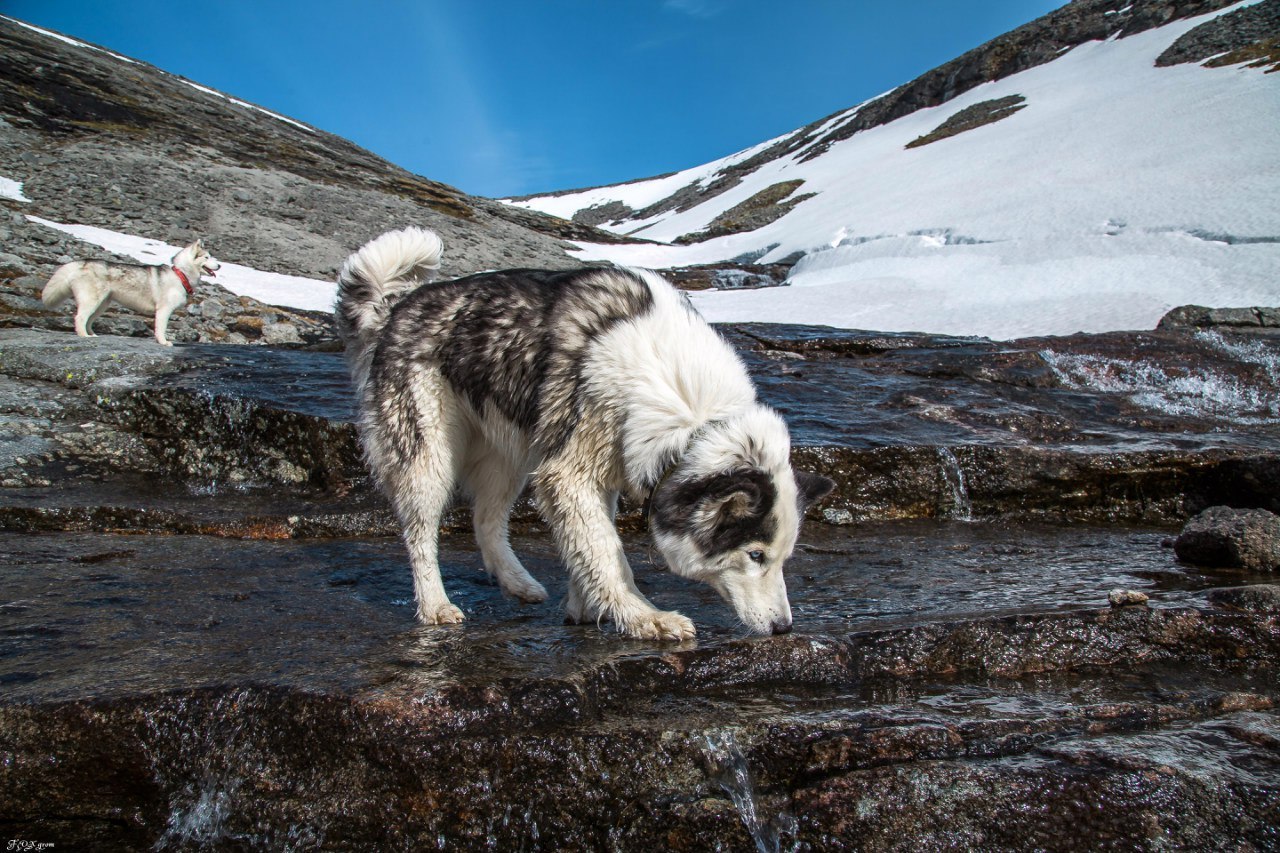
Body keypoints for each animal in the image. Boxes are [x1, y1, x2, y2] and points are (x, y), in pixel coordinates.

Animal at [40, 239, 222, 345]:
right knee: (80, 317)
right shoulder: (164, 309)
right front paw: (164, 342)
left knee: (89, 320)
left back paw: (92, 335)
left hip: (102, 304)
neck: (180, 274)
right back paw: (83, 336)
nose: (220, 265)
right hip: (92, 300)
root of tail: (82, 262)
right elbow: (161, 328)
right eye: (207, 257)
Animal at [335, 225, 834, 637]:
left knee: (486, 520)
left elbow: (587, 546)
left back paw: (517, 583)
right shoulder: (568, 472)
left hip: (511, 454)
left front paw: (585, 605)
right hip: (428, 456)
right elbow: (608, 554)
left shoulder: (599, 468)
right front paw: (643, 617)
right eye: (755, 555)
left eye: (783, 558)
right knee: (421, 534)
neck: (690, 414)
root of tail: (395, 309)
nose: (784, 629)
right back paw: (435, 605)